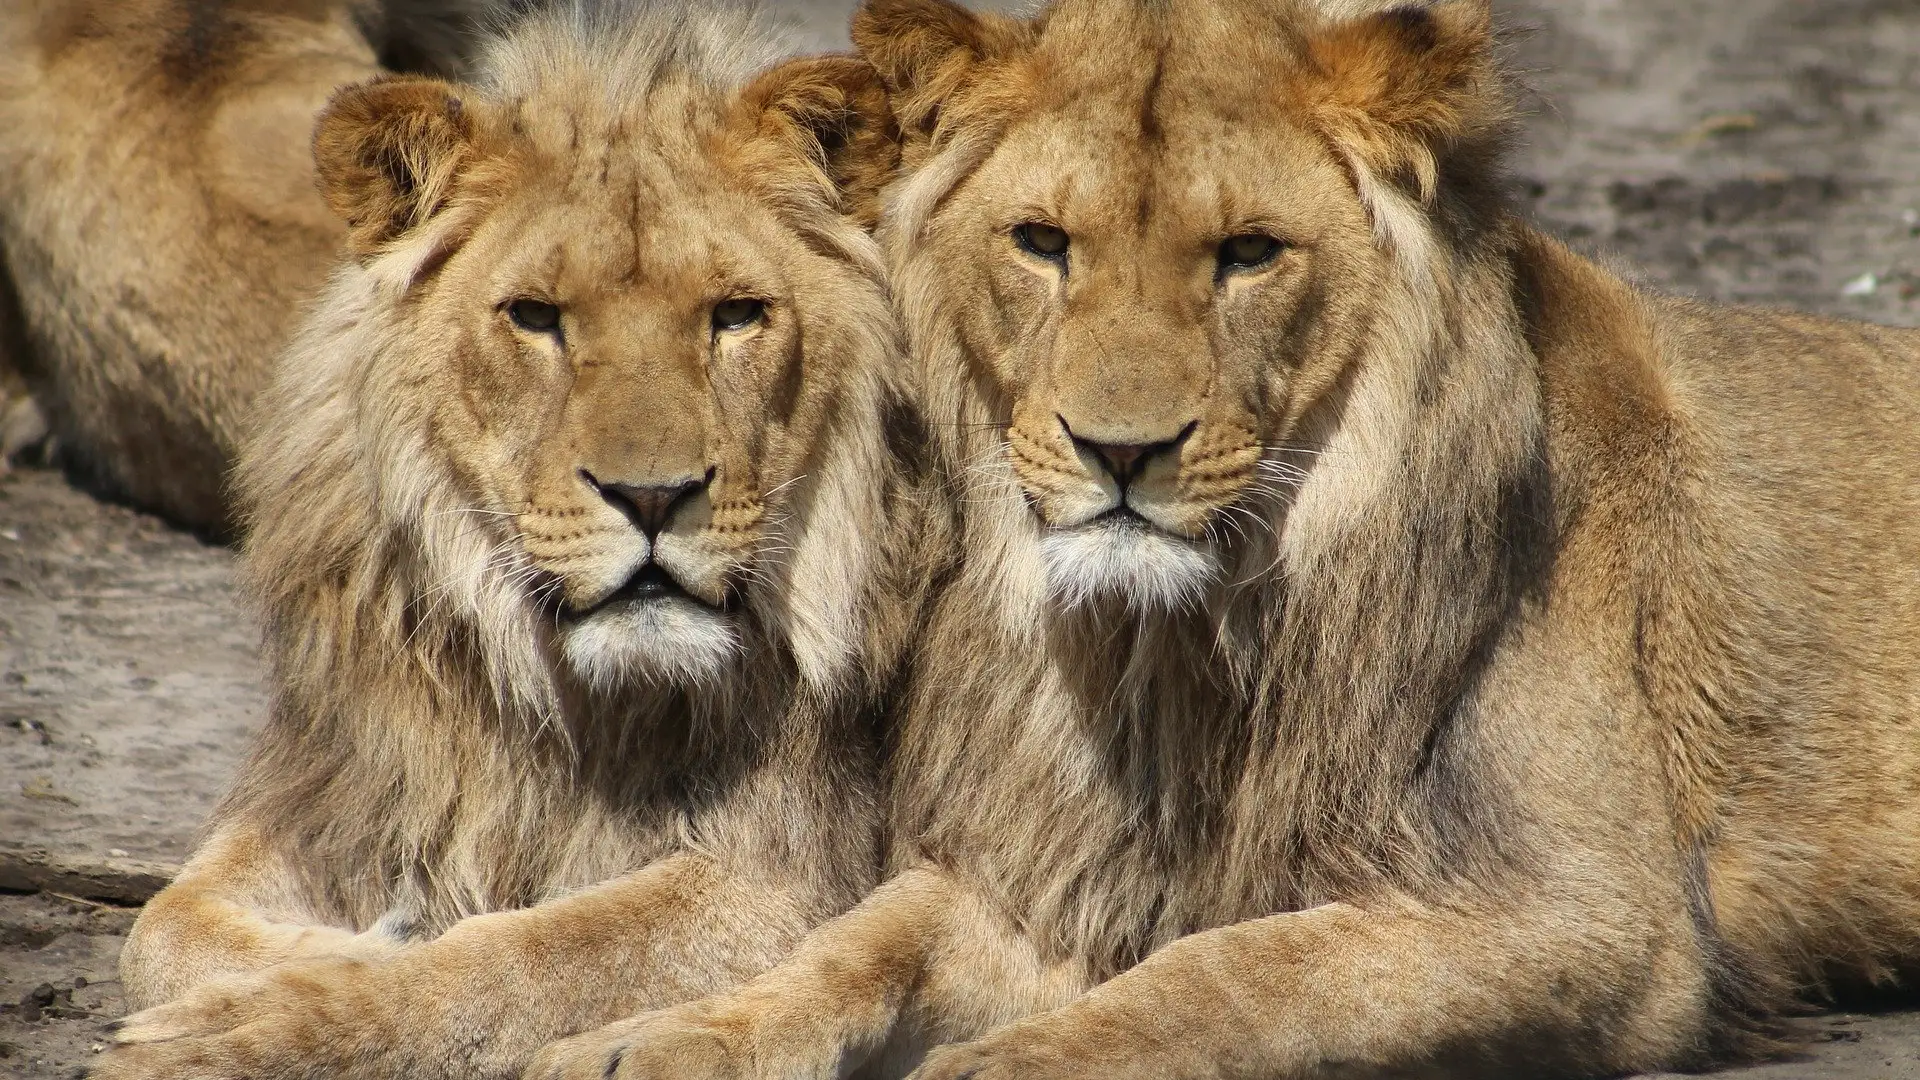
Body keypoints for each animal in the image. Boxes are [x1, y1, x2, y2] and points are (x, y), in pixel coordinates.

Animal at [89, 5, 933, 1079]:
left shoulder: (783, 873)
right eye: (535, 318)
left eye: (737, 315)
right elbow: (159, 926)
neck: (565, 695)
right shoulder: (356, 783)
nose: (652, 496)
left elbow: (528, 952)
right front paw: (340, 946)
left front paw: (254, 1024)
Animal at [524, 1, 1920, 1078]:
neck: (1175, 648)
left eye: (1250, 254)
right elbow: (866, 939)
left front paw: (1010, 1063)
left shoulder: (1593, 915)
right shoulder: (1053, 864)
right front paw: (667, 1035)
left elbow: (1233, 972)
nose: (1119, 454)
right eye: (1043, 243)